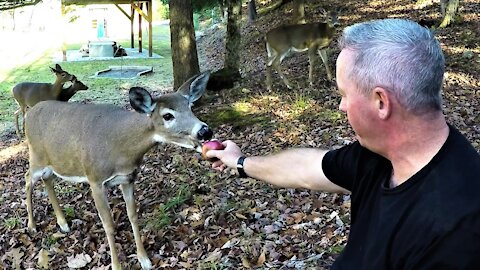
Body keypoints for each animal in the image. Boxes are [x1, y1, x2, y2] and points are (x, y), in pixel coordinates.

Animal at [23, 71, 214, 270]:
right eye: (168, 116)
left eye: (190, 106)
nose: (205, 131)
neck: (122, 149)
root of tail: (29, 113)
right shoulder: (95, 179)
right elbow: (108, 225)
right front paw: (116, 265)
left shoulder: (127, 178)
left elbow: (133, 215)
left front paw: (144, 259)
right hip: (35, 155)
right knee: (28, 178)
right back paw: (32, 225)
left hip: (50, 162)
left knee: (47, 179)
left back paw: (63, 224)